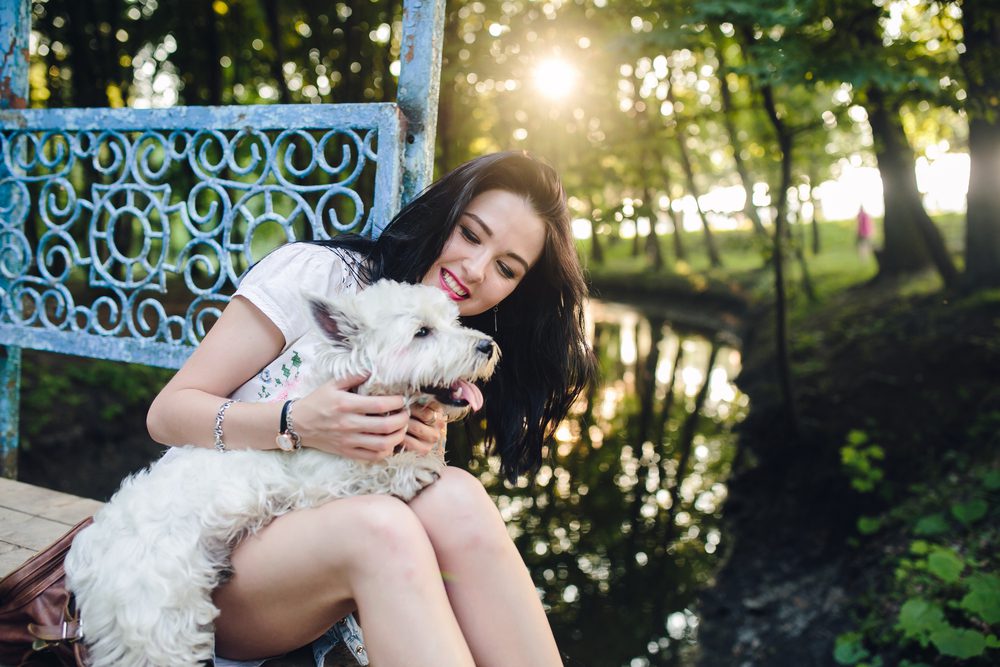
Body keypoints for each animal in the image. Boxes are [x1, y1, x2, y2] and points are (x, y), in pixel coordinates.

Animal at [63, 280, 500, 667]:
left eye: (453, 321)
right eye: (422, 332)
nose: (487, 345)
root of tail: (86, 565)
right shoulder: (322, 478)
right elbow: (371, 470)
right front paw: (414, 470)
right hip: (162, 625)